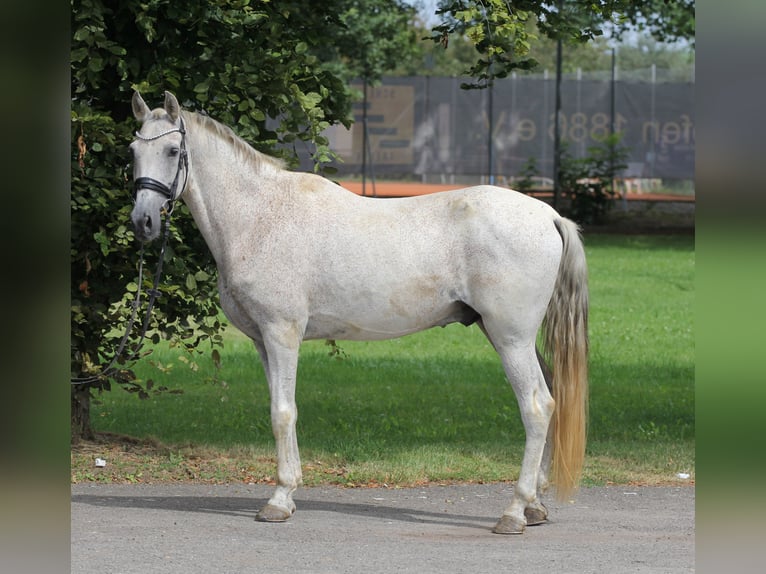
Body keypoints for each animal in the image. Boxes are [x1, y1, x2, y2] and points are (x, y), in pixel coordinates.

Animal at [132, 90, 592, 536]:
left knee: (537, 407)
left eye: (172, 150)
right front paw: (289, 493)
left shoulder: (282, 333)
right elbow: (282, 407)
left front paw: (278, 501)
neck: (260, 217)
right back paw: (535, 505)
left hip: (510, 338)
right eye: (133, 150)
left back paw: (514, 512)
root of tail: (549, 214)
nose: (143, 222)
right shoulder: (264, 341)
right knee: (550, 397)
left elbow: (283, 413)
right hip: (517, 339)